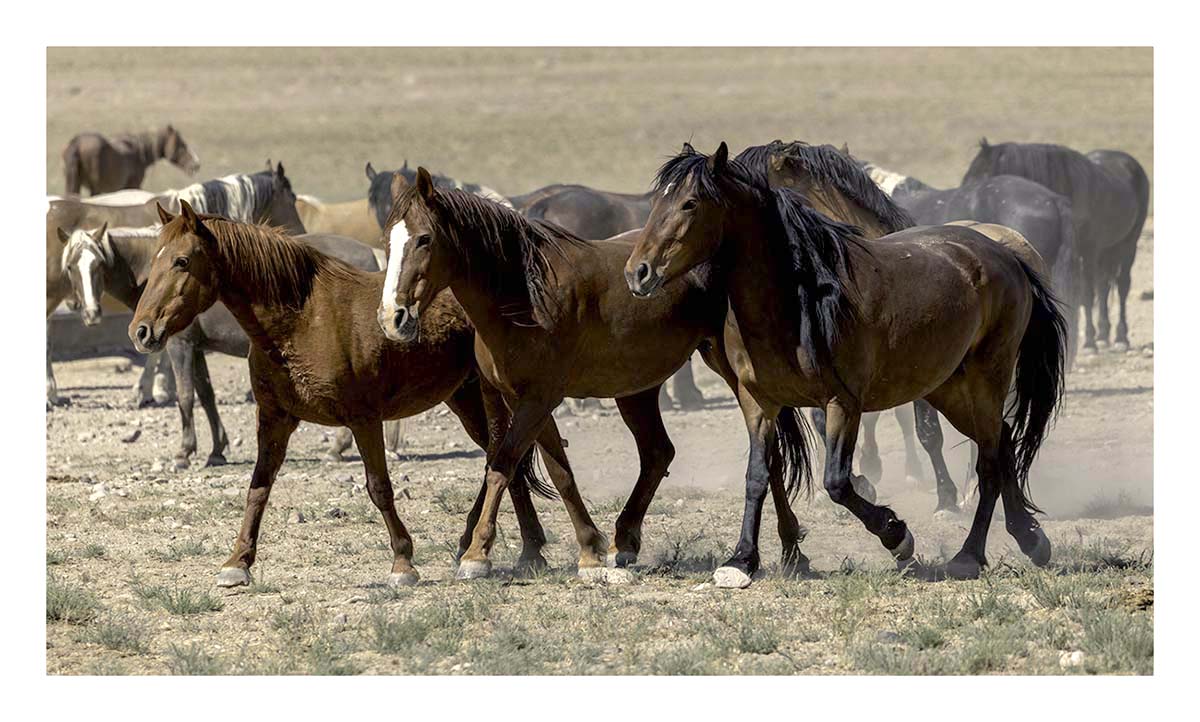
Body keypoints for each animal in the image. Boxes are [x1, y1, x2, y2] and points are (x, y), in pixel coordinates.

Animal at [57, 223, 402, 467]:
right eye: (70, 267)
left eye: (96, 265)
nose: (87, 311)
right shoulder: (197, 349)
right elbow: (206, 395)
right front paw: (216, 450)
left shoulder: (180, 345)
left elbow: (185, 396)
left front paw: (184, 453)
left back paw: (340, 447)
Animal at [62, 125, 200, 195]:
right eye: (182, 145)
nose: (196, 164)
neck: (139, 152)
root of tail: (76, 143)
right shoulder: (133, 186)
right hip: (94, 188)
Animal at [128, 201, 581, 588]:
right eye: (154, 259)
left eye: (182, 261)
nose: (142, 331)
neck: (301, 321)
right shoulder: (274, 419)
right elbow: (258, 487)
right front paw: (237, 562)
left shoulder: (363, 420)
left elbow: (378, 487)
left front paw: (403, 562)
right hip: (465, 399)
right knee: (502, 458)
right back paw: (518, 550)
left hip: (493, 398)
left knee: (506, 458)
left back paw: (500, 549)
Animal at [378, 168, 813, 581]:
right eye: (387, 241)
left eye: (424, 239)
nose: (392, 318)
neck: (522, 296)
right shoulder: (518, 399)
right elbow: (555, 470)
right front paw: (589, 548)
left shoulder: (539, 399)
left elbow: (503, 465)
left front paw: (476, 554)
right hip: (636, 389)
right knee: (658, 452)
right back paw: (627, 539)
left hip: (729, 371)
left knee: (767, 454)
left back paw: (790, 551)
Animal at [962, 140, 1149, 352]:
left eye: (979, 175)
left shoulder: (1089, 250)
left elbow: (1086, 293)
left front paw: (1089, 343)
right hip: (1107, 251)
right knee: (1104, 287)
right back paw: (1103, 335)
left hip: (1128, 244)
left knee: (1122, 285)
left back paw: (1120, 338)